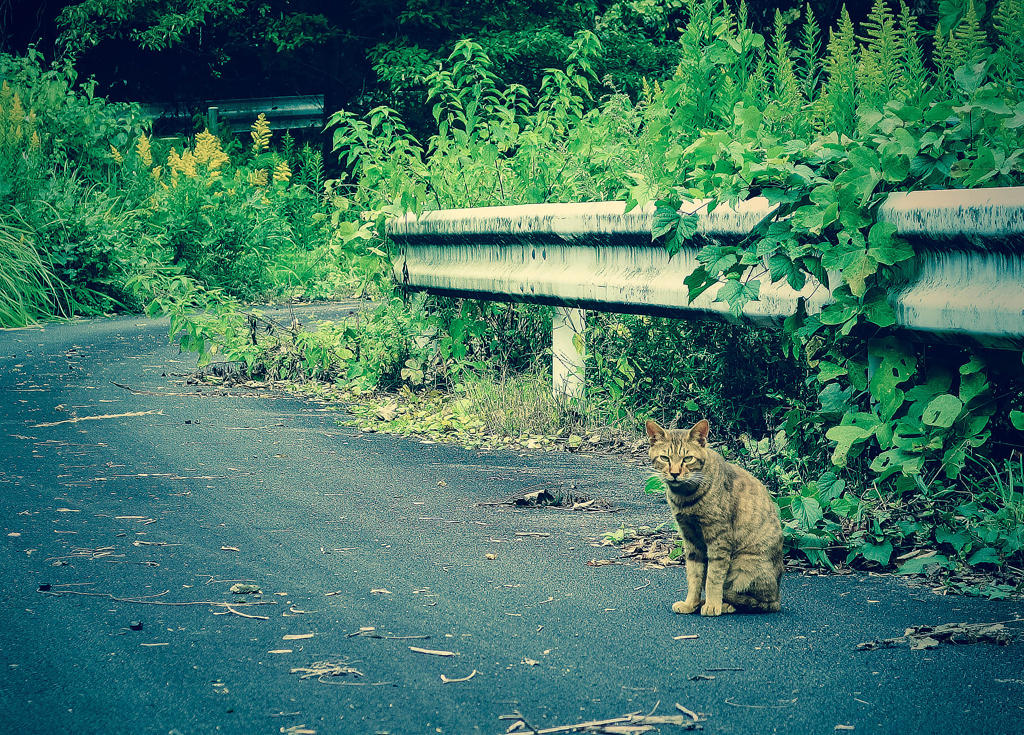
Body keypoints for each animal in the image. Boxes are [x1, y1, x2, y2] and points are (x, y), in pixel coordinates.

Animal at [647, 419, 782, 614]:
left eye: (687, 459)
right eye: (665, 458)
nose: (675, 473)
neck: (686, 497)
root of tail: (778, 596)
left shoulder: (719, 540)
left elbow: (713, 578)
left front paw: (712, 605)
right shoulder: (691, 539)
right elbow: (694, 576)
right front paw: (691, 603)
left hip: (744, 566)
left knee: (758, 602)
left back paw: (725, 605)